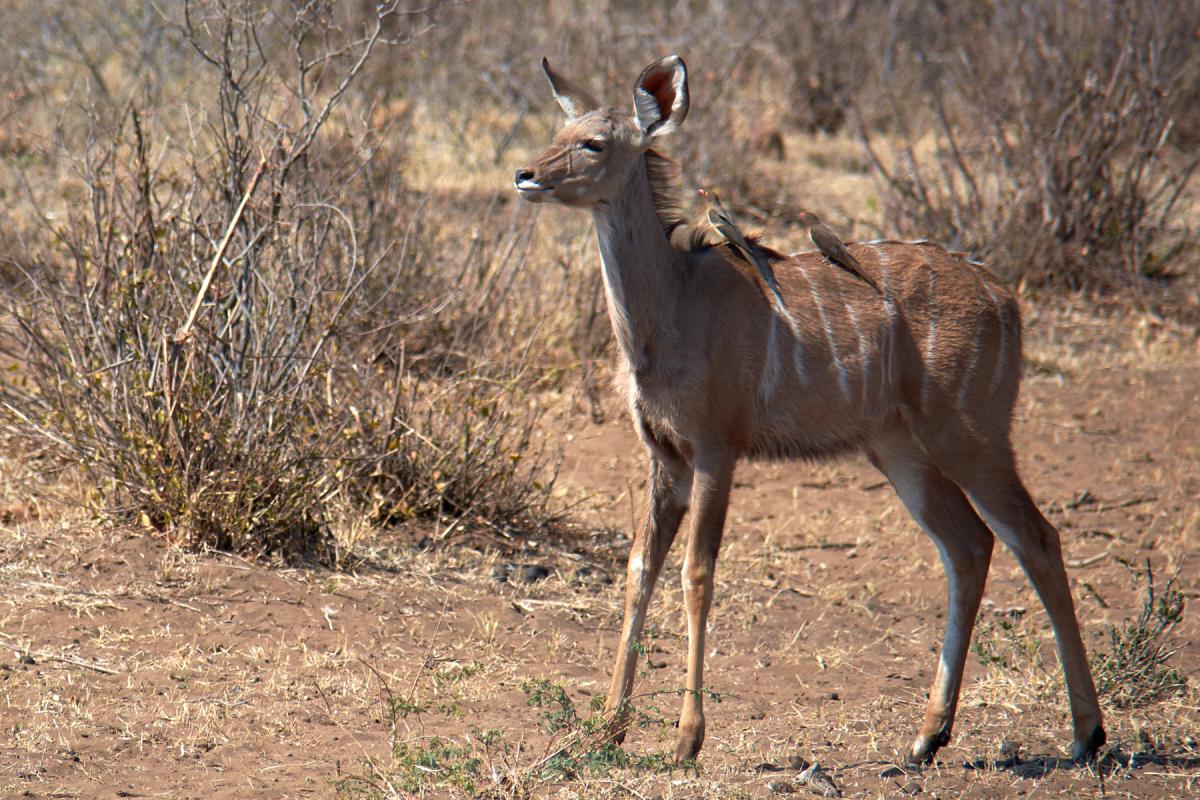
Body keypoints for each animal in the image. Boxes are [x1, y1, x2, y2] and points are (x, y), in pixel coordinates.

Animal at [516, 54, 1104, 762]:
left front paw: (687, 738)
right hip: (900, 451)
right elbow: (637, 570)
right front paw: (607, 726)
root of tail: (1007, 298)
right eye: (559, 128)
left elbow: (696, 574)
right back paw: (926, 737)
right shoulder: (665, 458)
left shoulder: (717, 450)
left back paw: (1086, 734)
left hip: (971, 436)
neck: (676, 308)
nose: (525, 175)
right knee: (969, 545)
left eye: (594, 143)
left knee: (1035, 537)